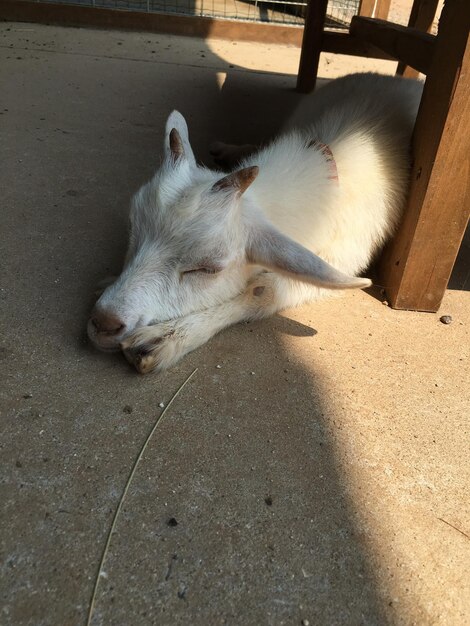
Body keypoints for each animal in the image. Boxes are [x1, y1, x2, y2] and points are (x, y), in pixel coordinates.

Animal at [87, 72, 422, 370]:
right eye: (133, 229)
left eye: (207, 269)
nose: (104, 322)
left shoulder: (344, 258)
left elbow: (263, 290)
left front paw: (167, 337)